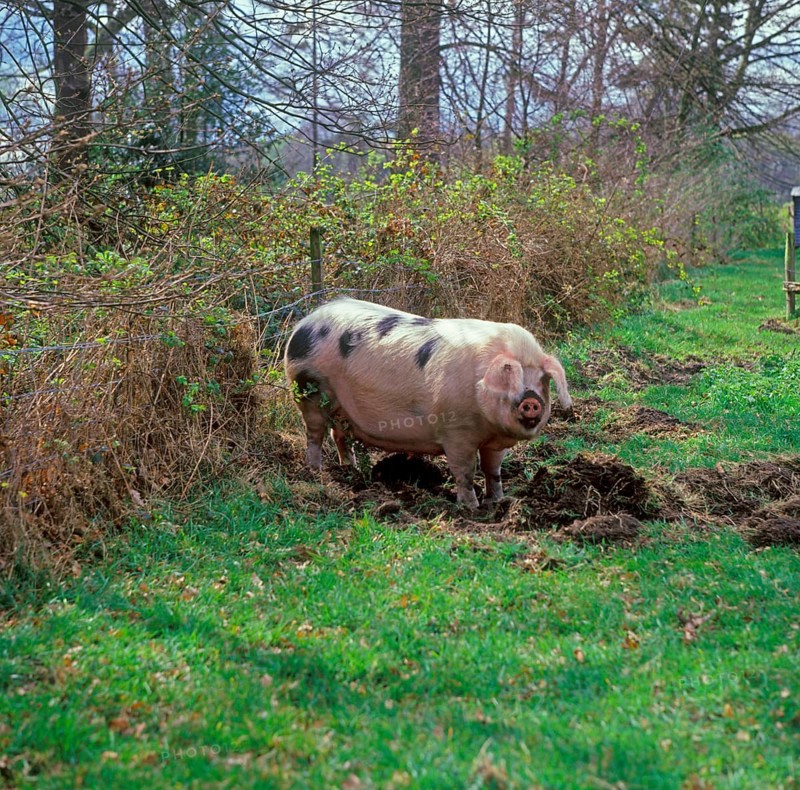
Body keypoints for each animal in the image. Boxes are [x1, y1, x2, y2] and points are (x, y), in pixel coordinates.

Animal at [284, 298, 572, 509]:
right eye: (510, 377)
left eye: (542, 381)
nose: (531, 400)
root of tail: (303, 324)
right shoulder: (456, 434)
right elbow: (465, 472)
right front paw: (471, 508)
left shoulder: (493, 443)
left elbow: (493, 469)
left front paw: (499, 501)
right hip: (309, 392)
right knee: (315, 434)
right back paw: (316, 471)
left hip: (340, 408)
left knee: (339, 435)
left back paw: (350, 470)